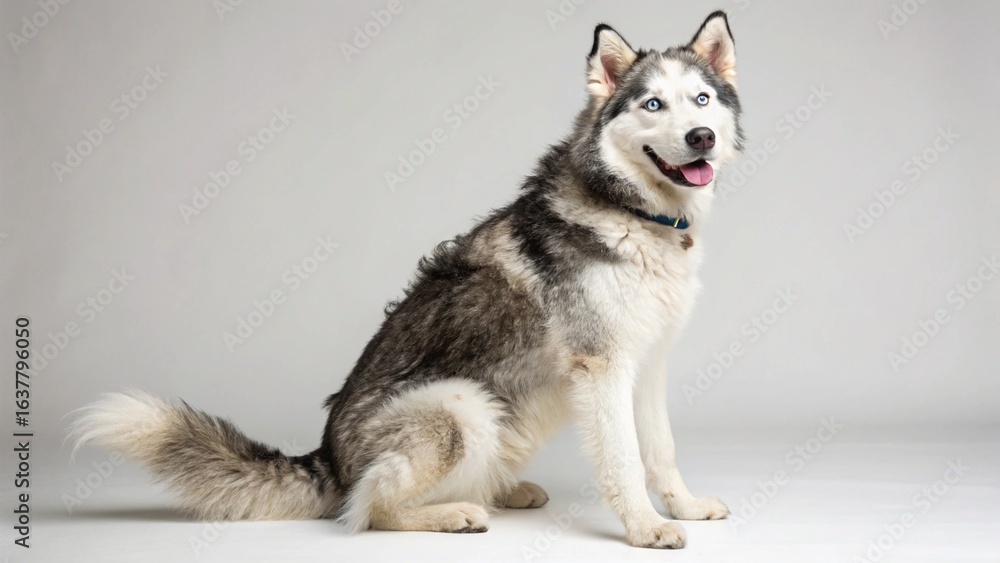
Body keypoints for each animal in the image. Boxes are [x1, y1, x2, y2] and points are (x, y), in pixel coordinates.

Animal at [74, 11, 743, 549]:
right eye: (652, 105)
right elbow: (624, 461)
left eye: (701, 100)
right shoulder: (602, 367)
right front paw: (645, 529)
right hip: (459, 407)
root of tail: (328, 460)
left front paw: (682, 508)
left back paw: (500, 490)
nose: (701, 137)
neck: (636, 214)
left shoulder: (646, 363)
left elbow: (660, 451)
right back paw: (451, 515)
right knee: (366, 508)